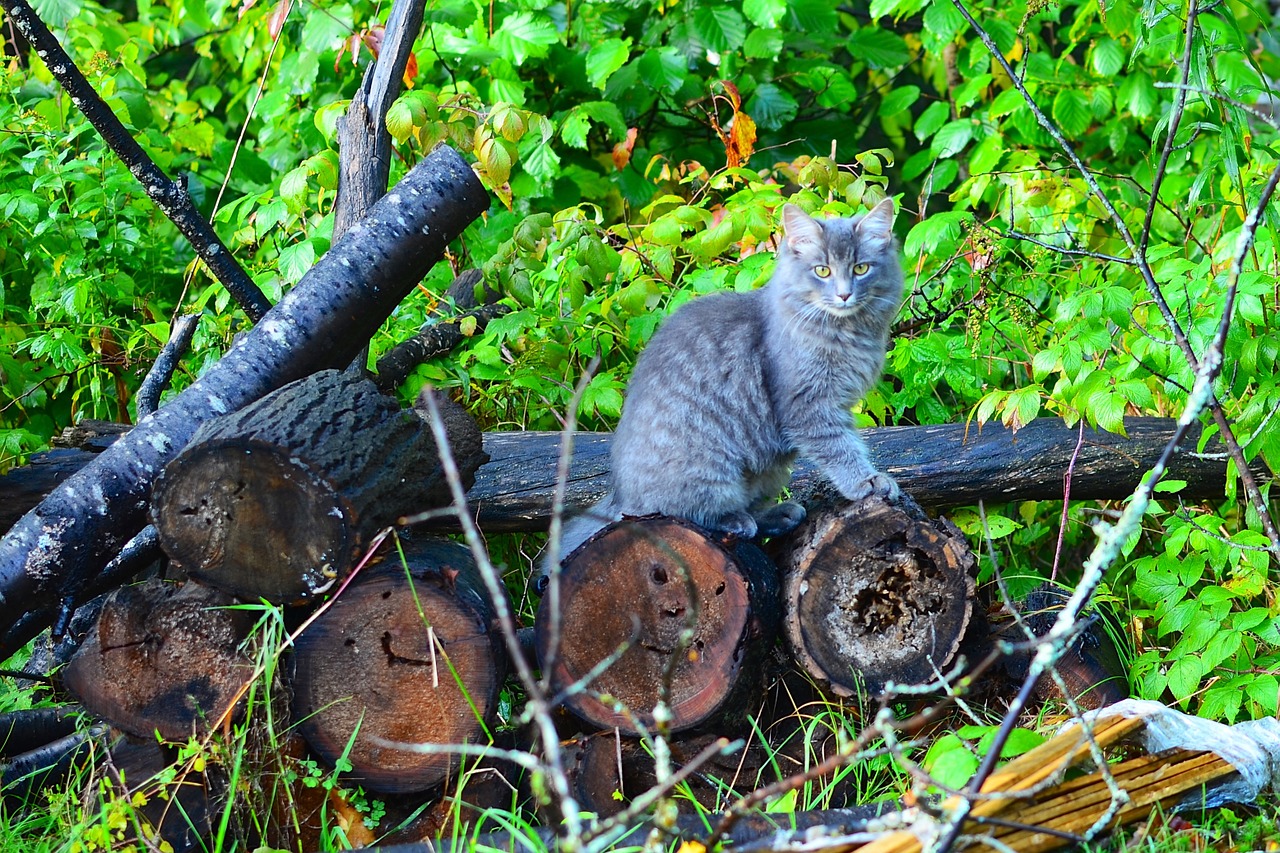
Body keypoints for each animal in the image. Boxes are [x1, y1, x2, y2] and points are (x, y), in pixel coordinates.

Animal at [545, 195, 906, 573]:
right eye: (822, 271)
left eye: (861, 269)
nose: (844, 294)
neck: (846, 332)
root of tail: (619, 493)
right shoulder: (809, 407)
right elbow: (842, 450)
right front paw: (867, 482)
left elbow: (850, 444)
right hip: (709, 467)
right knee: (677, 512)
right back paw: (736, 520)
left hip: (769, 471)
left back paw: (778, 515)